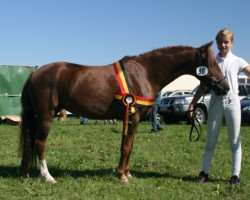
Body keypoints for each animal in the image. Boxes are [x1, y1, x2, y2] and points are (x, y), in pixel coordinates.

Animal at [19, 41, 229, 184]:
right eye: (212, 63)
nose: (225, 87)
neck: (145, 73)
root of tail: (34, 73)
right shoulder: (132, 117)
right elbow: (126, 147)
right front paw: (122, 176)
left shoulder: (131, 119)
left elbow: (129, 145)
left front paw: (126, 173)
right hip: (46, 116)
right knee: (40, 143)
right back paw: (47, 176)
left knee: (30, 142)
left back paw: (25, 173)